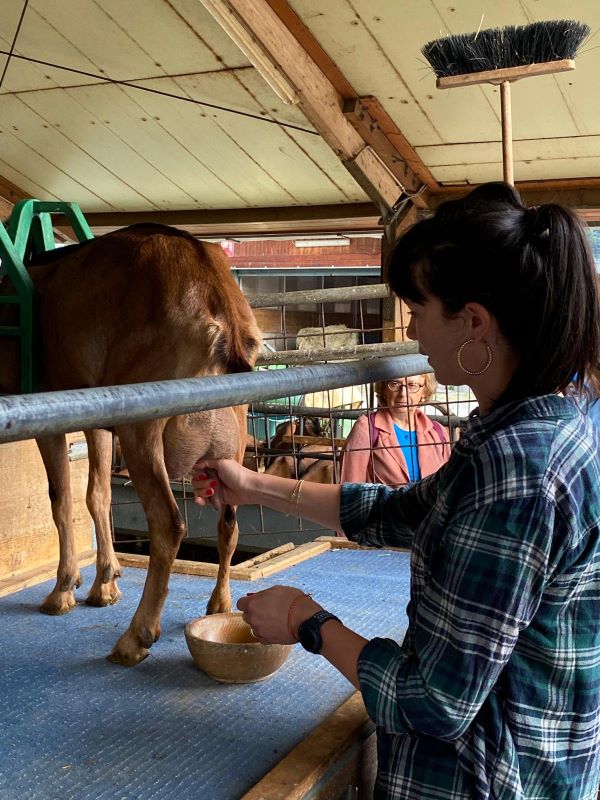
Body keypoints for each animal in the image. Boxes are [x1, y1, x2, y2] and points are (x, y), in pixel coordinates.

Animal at [1, 222, 262, 664]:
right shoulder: (99, 418)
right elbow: (97, 494)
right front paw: (105, 583)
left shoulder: (50, 418)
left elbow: (61, 499)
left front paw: (63, 590)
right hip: (230, 435)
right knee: (229, 522)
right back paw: (220, 603)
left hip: (144, 425)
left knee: (168, 523)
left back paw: (135, 637)